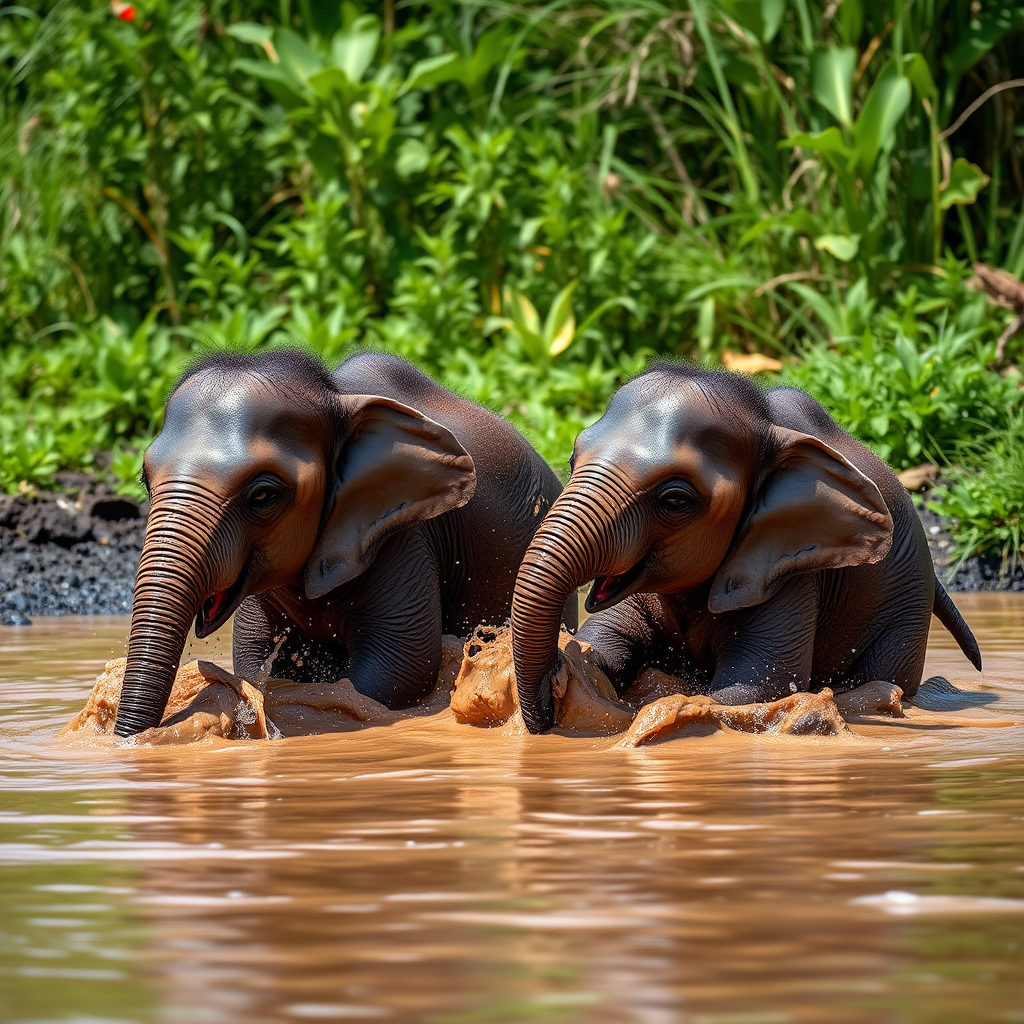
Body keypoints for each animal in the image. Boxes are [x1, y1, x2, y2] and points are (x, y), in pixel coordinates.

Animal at [113, 350, 573, 737]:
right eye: (145, 479)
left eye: (263, 494)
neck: (337, 396)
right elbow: (250, 655)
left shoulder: (402, 536)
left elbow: (398, 669)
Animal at [511, 362, 982, 734]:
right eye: (572, 461)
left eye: (675, 500)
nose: (551, 686)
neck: (767, 425)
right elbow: (606, 641)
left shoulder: (790, 571)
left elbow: (755, 687)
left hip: (907, 603)